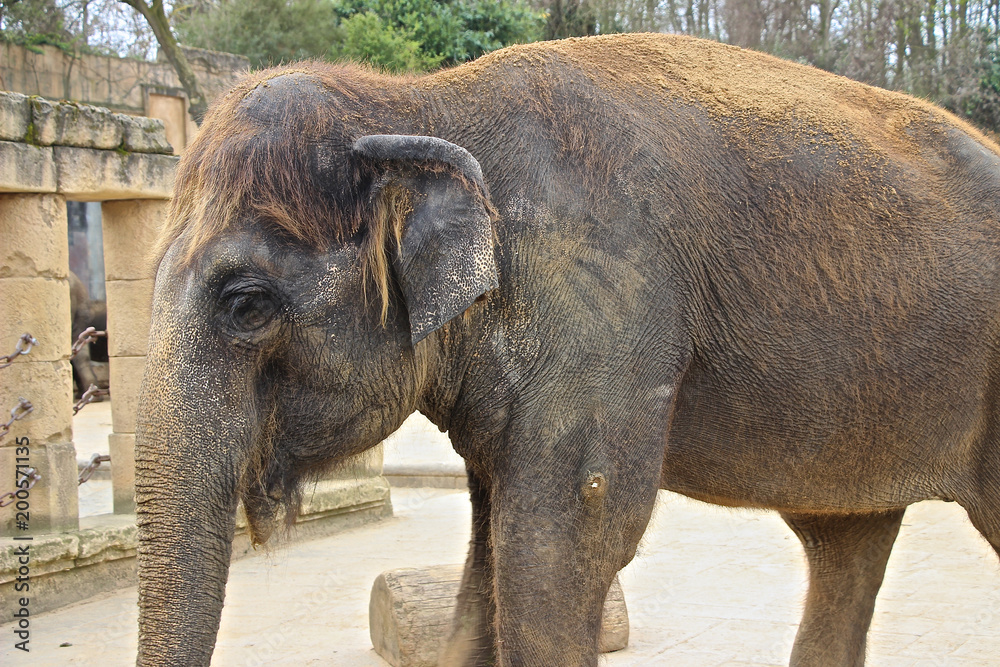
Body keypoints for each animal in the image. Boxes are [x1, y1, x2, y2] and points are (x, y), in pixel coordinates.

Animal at [135, 33, 1000, 666]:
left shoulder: (605, 306)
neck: (420, 100)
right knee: (845, 541)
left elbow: (565, 545)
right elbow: (488, 565)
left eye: (246, 303)